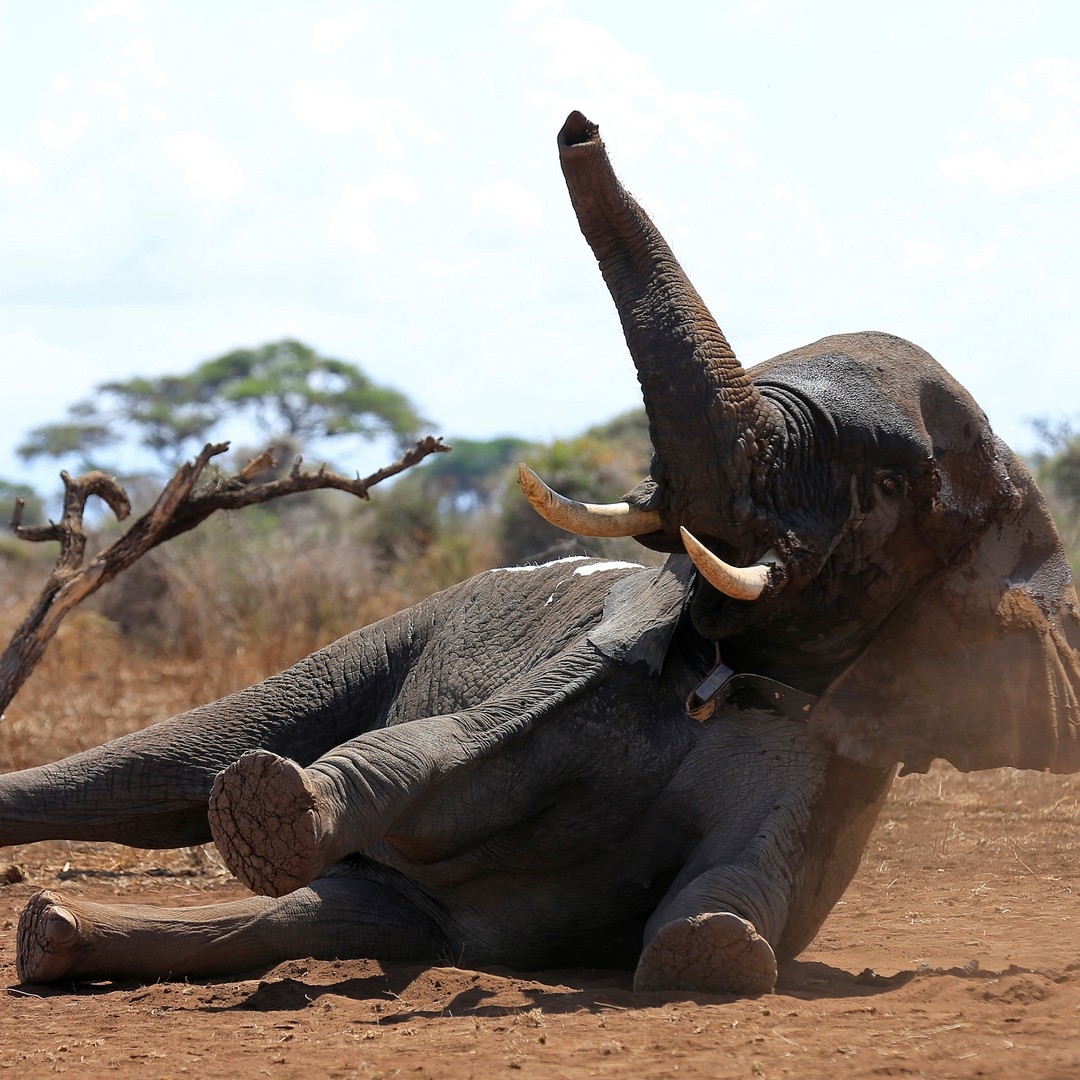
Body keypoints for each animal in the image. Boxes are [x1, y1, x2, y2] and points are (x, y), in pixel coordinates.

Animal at [4, 111, 1079, 997]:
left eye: (887, 483)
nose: (577, 124)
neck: (734, 666)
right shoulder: (597, 658)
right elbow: (434, 753)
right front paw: (272, 806)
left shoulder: (834, 747)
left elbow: (733, 905)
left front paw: (710, 945)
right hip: (401, 627)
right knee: (156, 774)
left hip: (398, 910)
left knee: (312, 915)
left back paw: (56, 933)